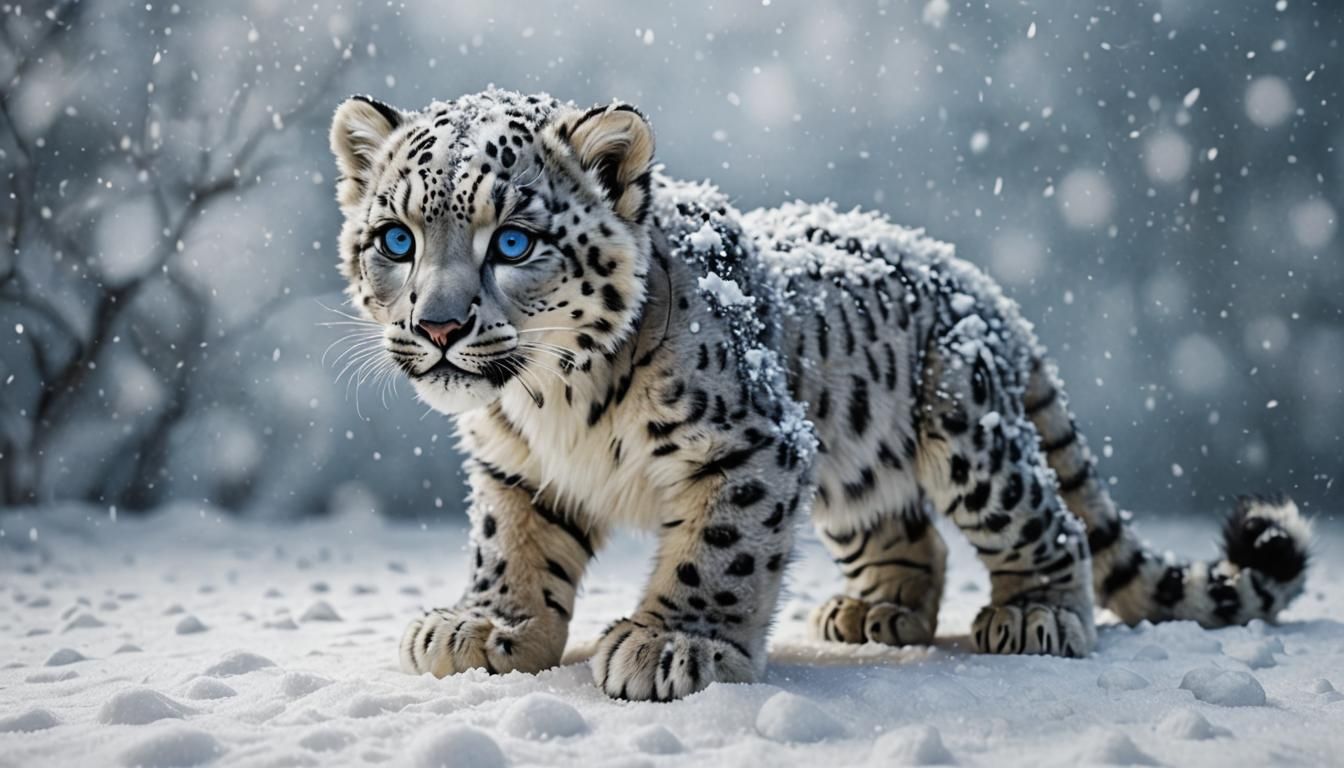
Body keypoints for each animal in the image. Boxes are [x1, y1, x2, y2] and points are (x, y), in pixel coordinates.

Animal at [327, 88, 1312, 701]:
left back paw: (1033, 614)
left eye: (515, 241)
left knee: (1050, 520)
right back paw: (875, 613)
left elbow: (717, 551)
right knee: (913, 533)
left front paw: (675, 642)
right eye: (396, 238)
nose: (439, 326)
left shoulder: (754, 444)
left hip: (969, 435)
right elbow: (514, 548)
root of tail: (975, 280)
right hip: (853, 465)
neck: (549, 405)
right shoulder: (516, 470)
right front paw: (484, 628)